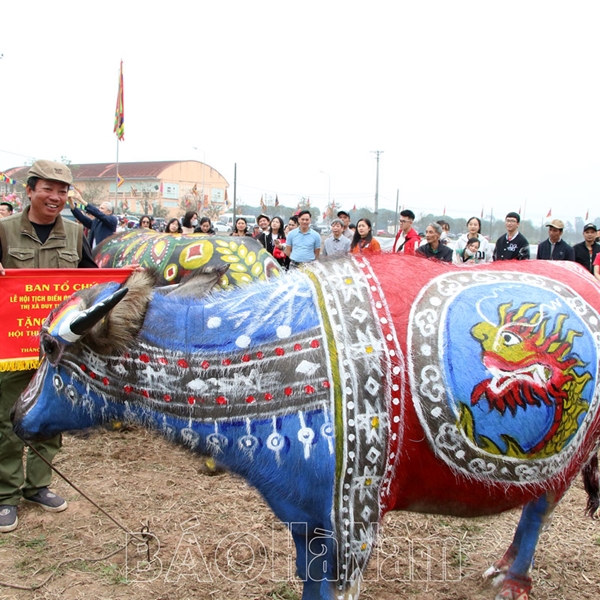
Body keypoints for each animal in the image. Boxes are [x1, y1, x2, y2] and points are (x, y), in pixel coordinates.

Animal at [10, 255, 600, 596]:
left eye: (50, 347)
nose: (17, 417)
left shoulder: (354, 525)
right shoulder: (307, 519)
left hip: (567, 462)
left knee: (539, 510)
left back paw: (513, 580)